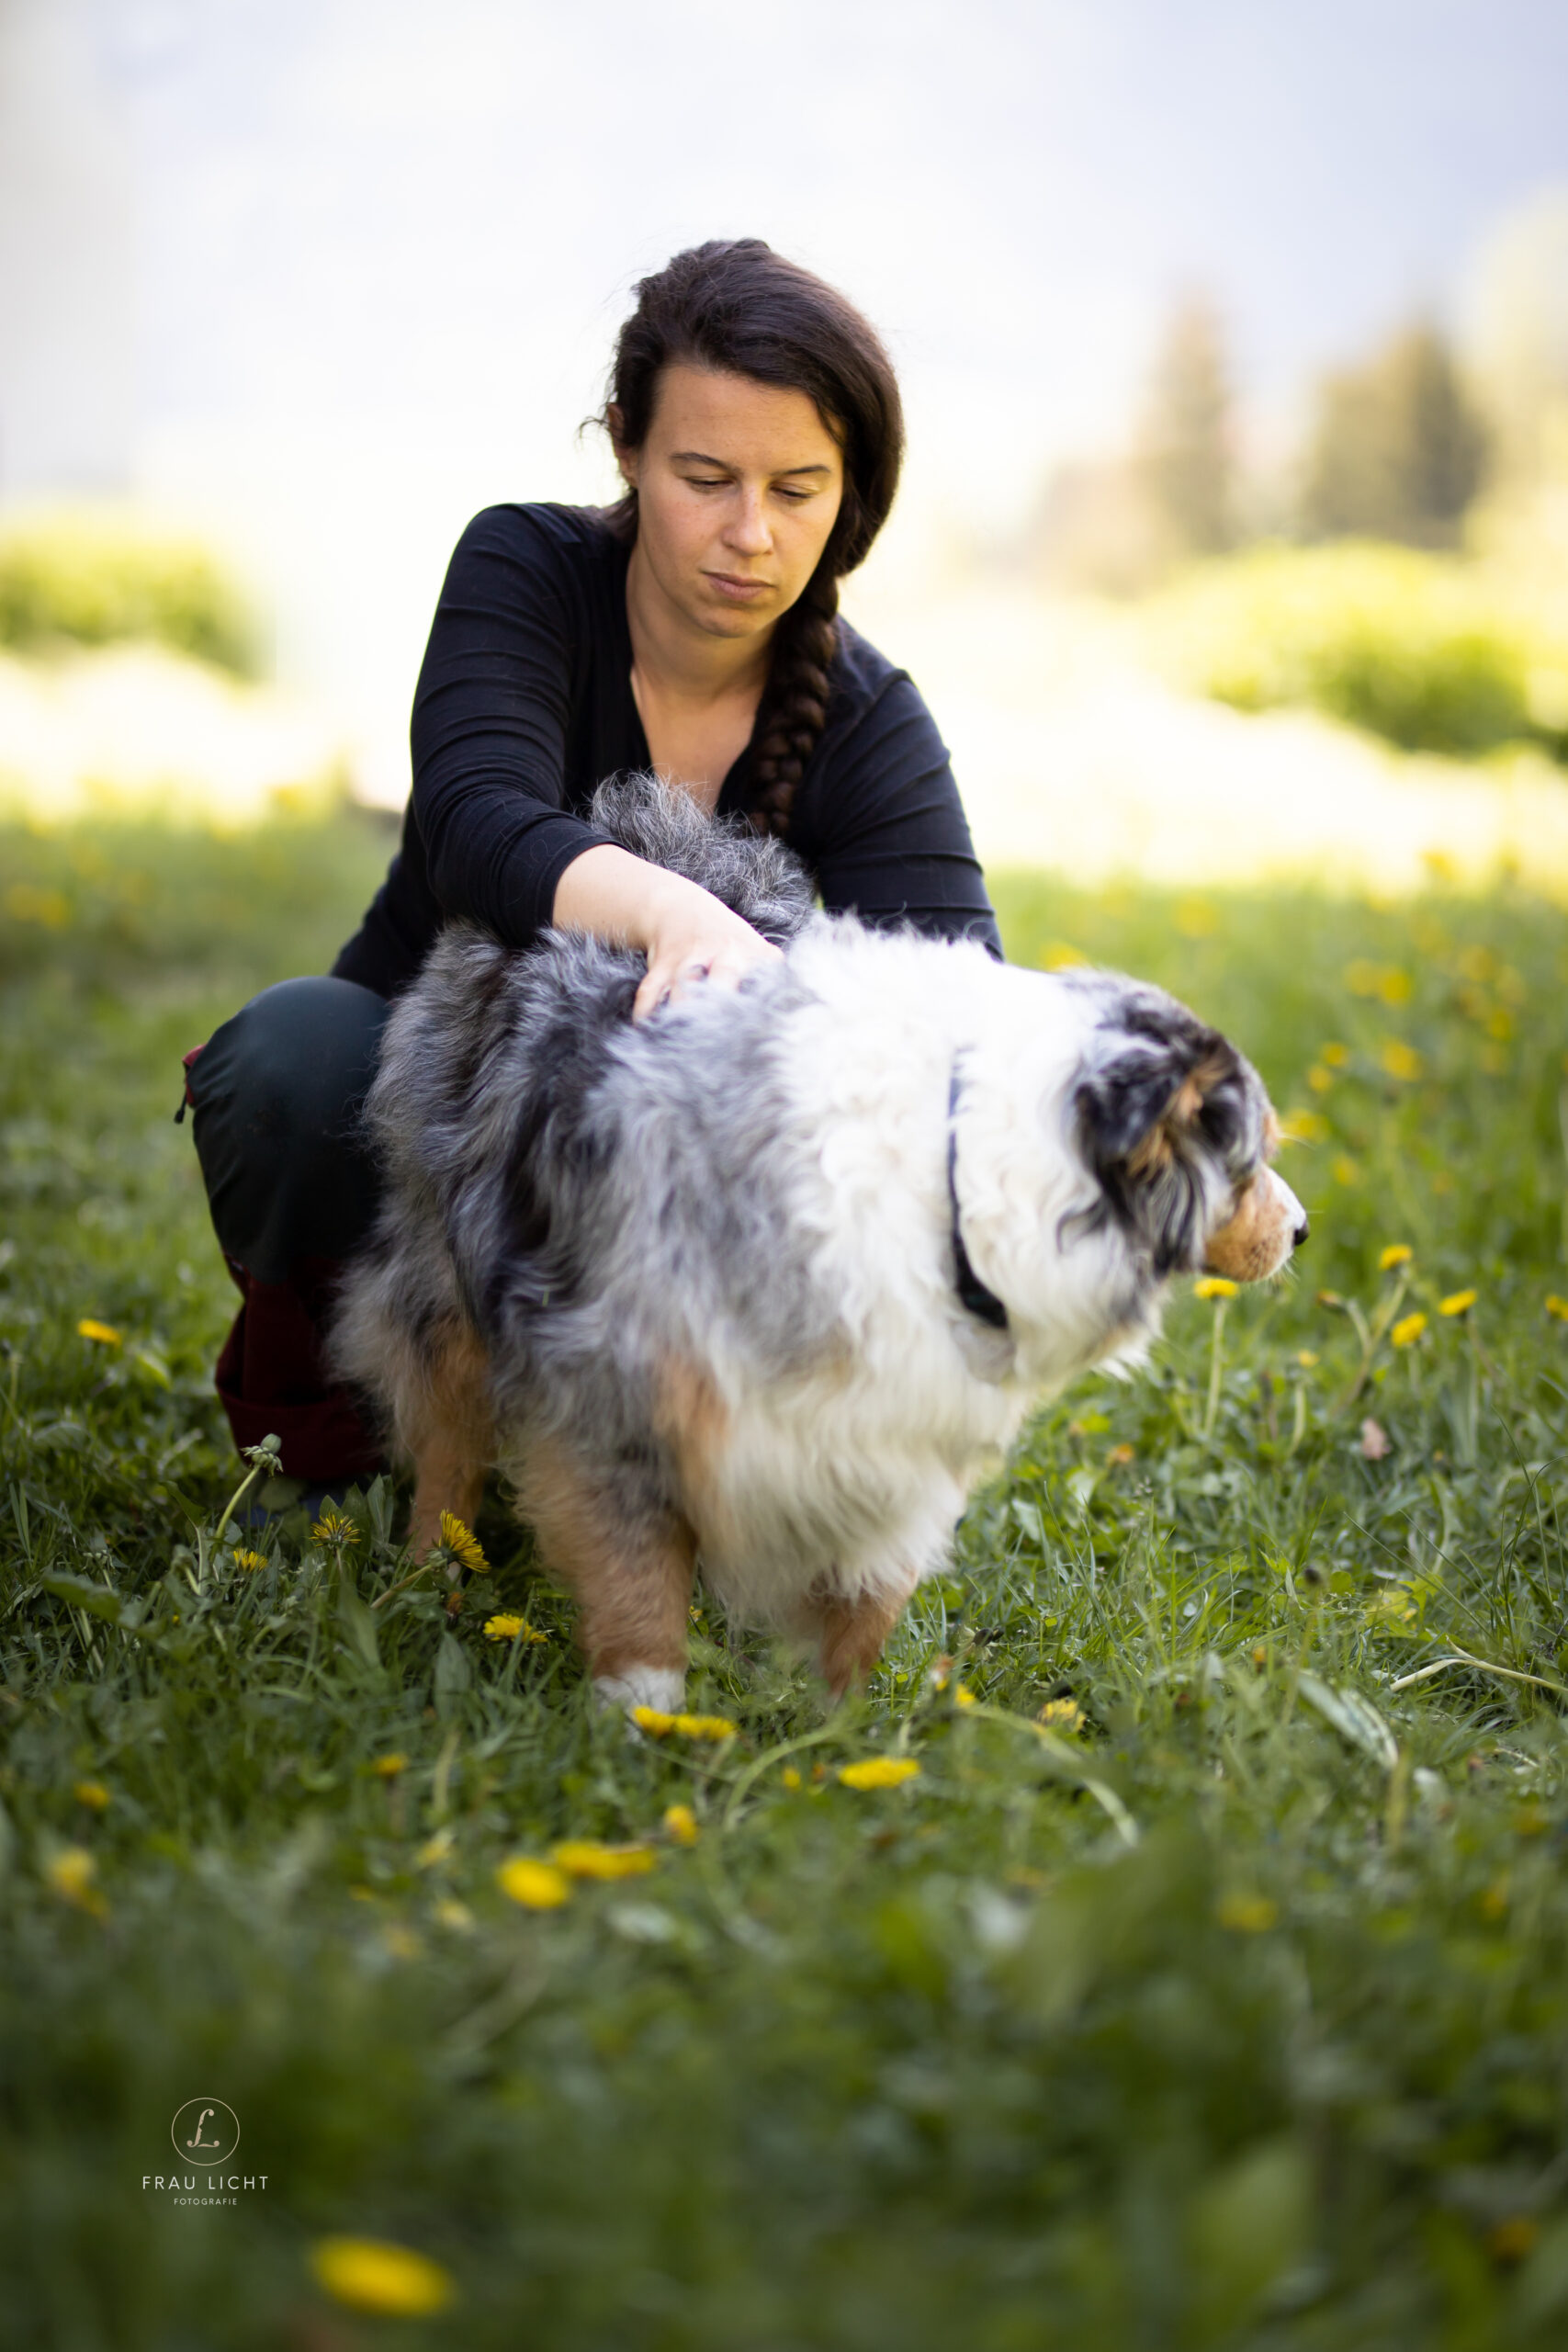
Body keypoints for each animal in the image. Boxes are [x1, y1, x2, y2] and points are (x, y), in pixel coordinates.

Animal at [333, 780, 1316, 1702]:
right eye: (1249, 1160)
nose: (1303, 1230)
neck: (953, 1174)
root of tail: (660, 839)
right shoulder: (614, 1400)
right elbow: (637, 1605)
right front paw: (643, 1731)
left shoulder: (896, 1433)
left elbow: (863, 1613)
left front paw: (837, 1742)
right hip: (444, 1274)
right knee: (446, 1437)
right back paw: (425, 1581)